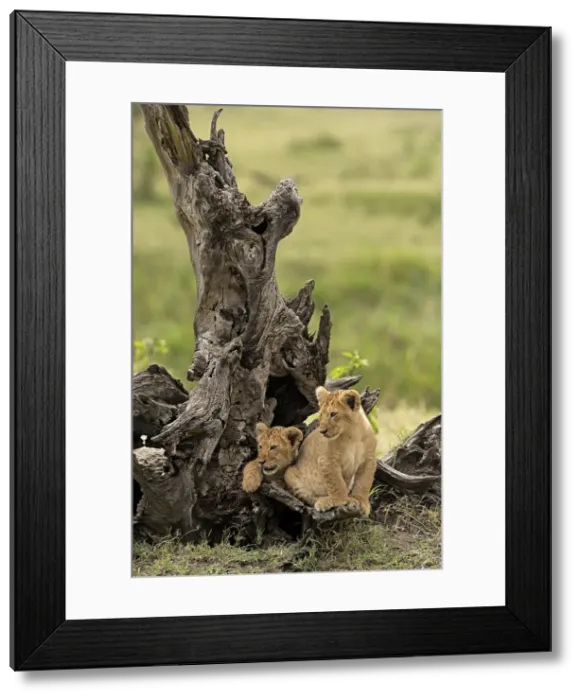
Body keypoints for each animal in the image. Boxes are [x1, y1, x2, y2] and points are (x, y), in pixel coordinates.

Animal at [282, 386, 378, 517]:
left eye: (333, 414)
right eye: (321, 415)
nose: (322, 431)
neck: (353, 435)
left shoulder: (368, 460)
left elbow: (364, 483)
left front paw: (361, 502)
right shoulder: (327, 460)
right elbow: (336, 483)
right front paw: (340, 499)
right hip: (290, 473)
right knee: (310, 496)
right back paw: (323, 501)